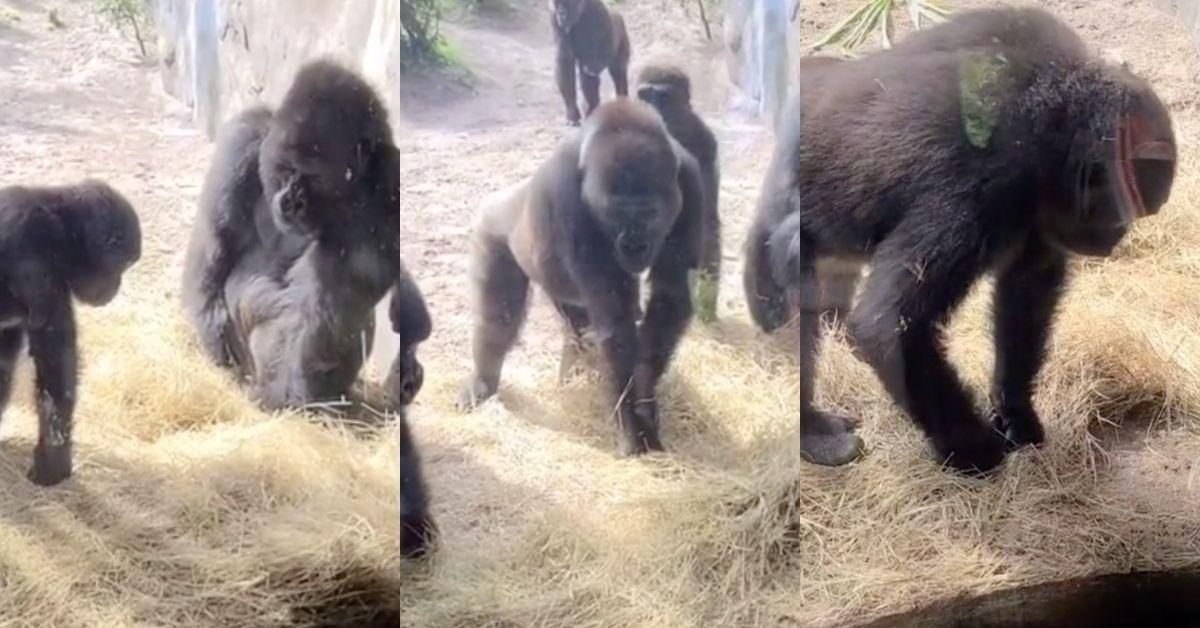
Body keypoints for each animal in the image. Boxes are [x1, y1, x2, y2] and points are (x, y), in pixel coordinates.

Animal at [180, 58, 429, 413]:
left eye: (314, 177)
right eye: (286, 169)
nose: (291, 201)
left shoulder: (389, 175)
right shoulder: (243, 138)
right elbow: (215, 248)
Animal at [456, 99, 700, 456]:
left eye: (650, 213)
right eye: (616, 213)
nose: (634, 244)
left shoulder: (692, 181)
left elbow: (669, 297)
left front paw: (645, 400)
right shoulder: (565, 196)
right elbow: (616, 323)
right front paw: (633, 426)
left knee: (577, 329)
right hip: (492, 227)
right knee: (497, 321)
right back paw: (483, 382)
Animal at [744, 7, 1176, 475]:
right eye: (1121, 209)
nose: (1119, 234)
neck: (1057, 118)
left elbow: (1026, 295)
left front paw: (1016, 413)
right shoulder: (980, 186)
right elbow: (891, 322)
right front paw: (973, 448)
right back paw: (811, 429)